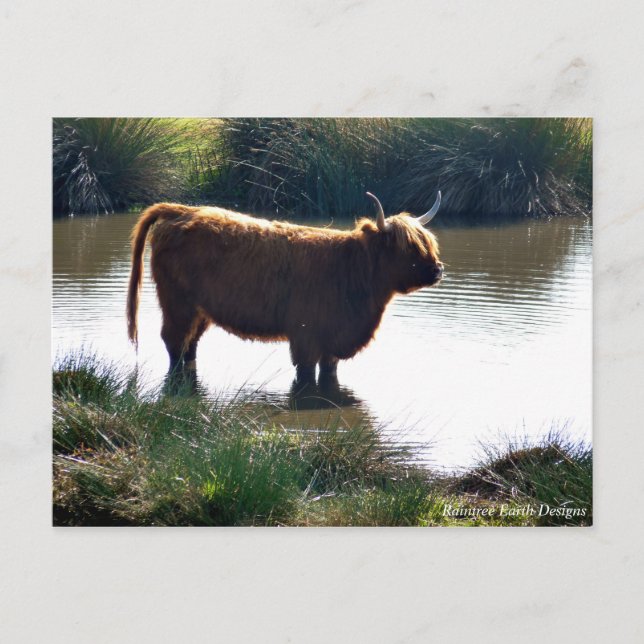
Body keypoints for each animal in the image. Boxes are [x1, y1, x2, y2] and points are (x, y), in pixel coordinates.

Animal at [127, 192, 443, 382]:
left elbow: (329, 375)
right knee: (174, 342)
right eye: (409, 247)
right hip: (177, 302)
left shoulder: (332, 340)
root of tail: (182, 210)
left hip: (200, 311)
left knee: (189, 345)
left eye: (428, 244)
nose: (438, 269)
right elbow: (305, 377)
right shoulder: (305, 337)